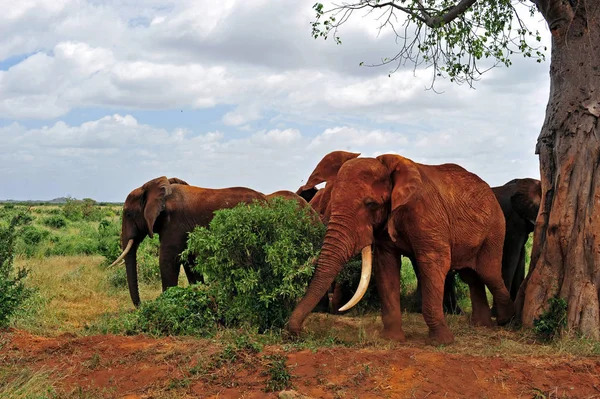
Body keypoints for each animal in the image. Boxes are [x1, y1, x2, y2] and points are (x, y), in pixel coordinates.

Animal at [110, 177, 264, 308]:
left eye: (128, 214)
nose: (141, 306)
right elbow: (189, 260)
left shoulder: (175, 223)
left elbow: (168, 260)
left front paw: (165, 304)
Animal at [288, 155, 512, 346]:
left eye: (371, 204)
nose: (296, 333)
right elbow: (386, 266)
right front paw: (392, 339)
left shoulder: (426, 214)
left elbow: (434, 263)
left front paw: (442, 342)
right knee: (472, 276)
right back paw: (482, 325)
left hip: (495, 228)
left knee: (489, 273)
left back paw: (504, 320)